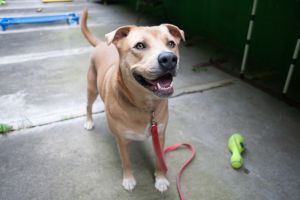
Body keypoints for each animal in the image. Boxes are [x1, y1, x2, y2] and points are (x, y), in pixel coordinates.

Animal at [79, 9, 184, 192]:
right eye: (140, 46)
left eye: (171, 43)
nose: (170, 59)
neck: (145, 106)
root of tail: (101, 44)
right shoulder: (121, 140)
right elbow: (126, 162)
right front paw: (128, 179)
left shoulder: (160, 134)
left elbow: (159, 159)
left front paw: (160, 178)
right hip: (92, 89)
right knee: (88, 106)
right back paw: (89, 122)